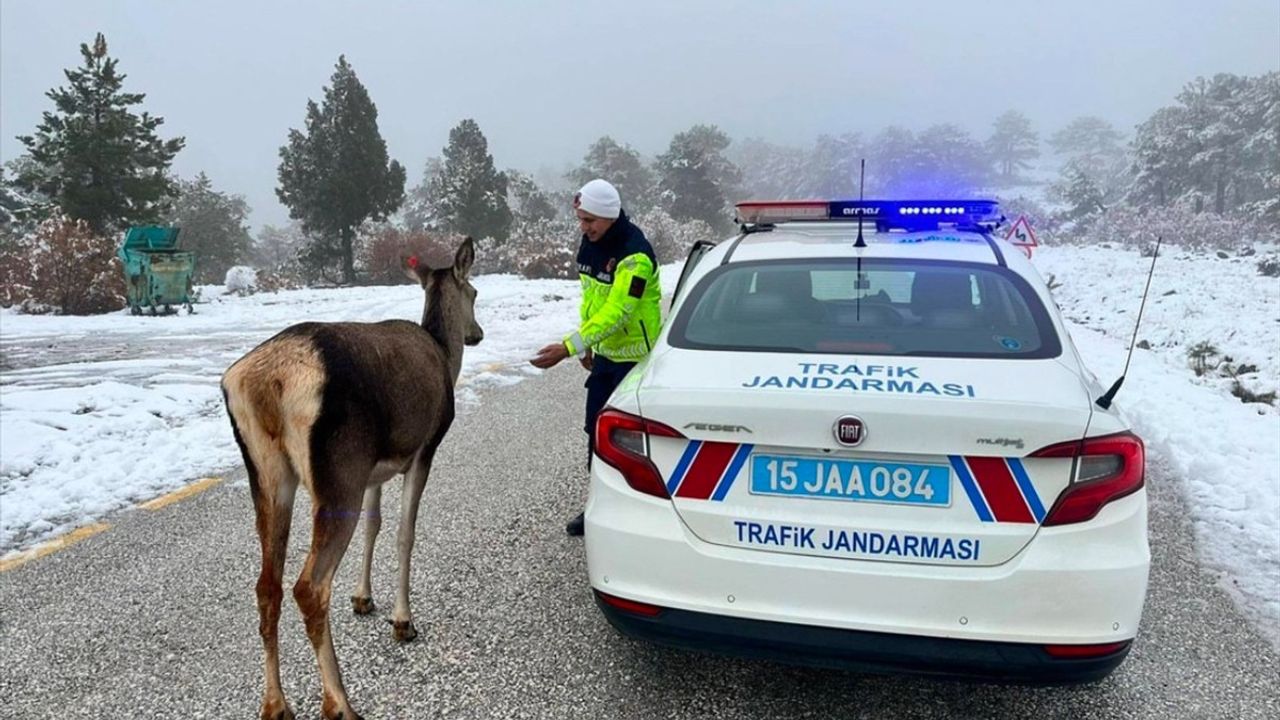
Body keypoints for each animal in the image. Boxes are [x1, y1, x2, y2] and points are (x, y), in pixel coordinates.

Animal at [222, 237, 481, 717]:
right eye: (474, 292)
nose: (477, 334)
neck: (444, 354)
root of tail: (268, 382)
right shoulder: (423, 448)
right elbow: (404, 533)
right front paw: (403, 620)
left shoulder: (375, 468)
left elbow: (373, 527)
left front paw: (363, 598)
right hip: (338, 470)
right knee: (308, 586)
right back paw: (339, 701)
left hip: (269, 475)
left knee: (267, 585)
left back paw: (276, 703)